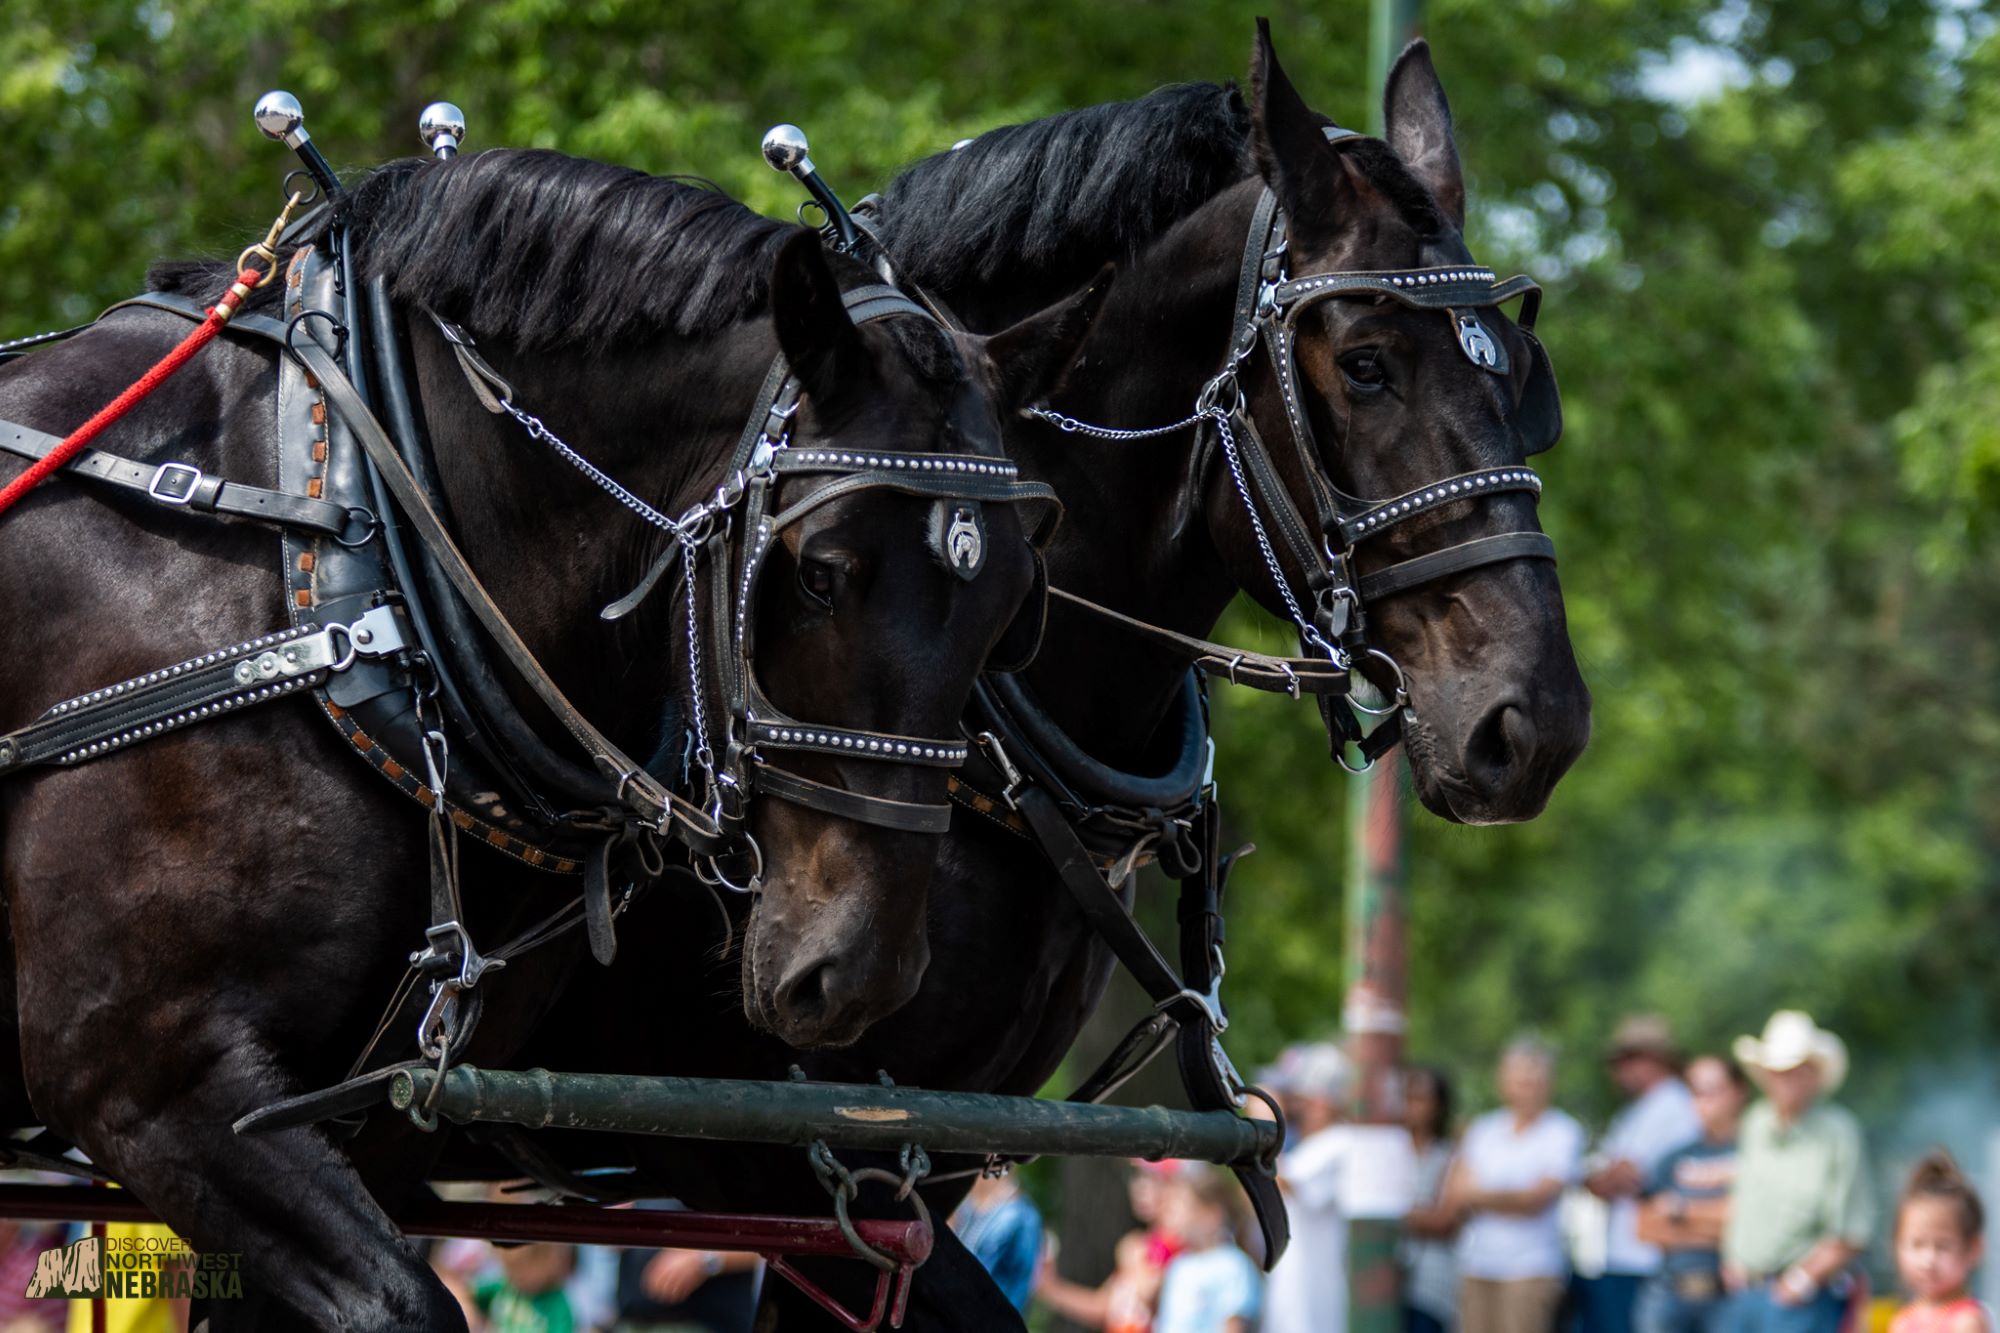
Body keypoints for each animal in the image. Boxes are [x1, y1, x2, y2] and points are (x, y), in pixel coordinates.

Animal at [0, 145, 1104, 1329]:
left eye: (1016, 604)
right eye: (818, 571)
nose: (857, 971)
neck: (340, 548)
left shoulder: (377, 1120)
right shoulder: (156, 1081)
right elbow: (409, 1302)